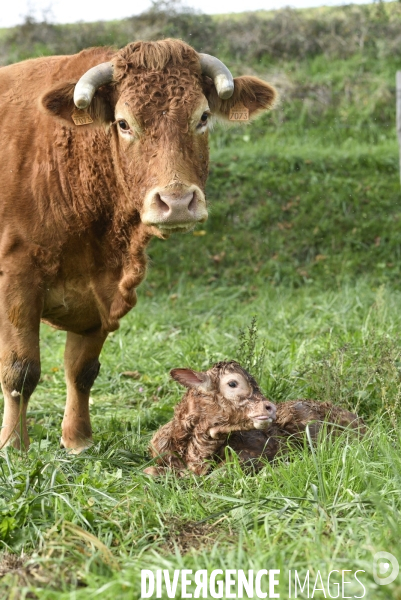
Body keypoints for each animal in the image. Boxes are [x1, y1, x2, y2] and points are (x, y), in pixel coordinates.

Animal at [0, 38, 276, 450]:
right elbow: (20, 371)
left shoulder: (101, 291)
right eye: (124, 123)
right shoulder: (17, 280)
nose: (177, 201)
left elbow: (82, 370)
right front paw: (13, 446)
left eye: (203, 117)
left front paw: (78, 439)